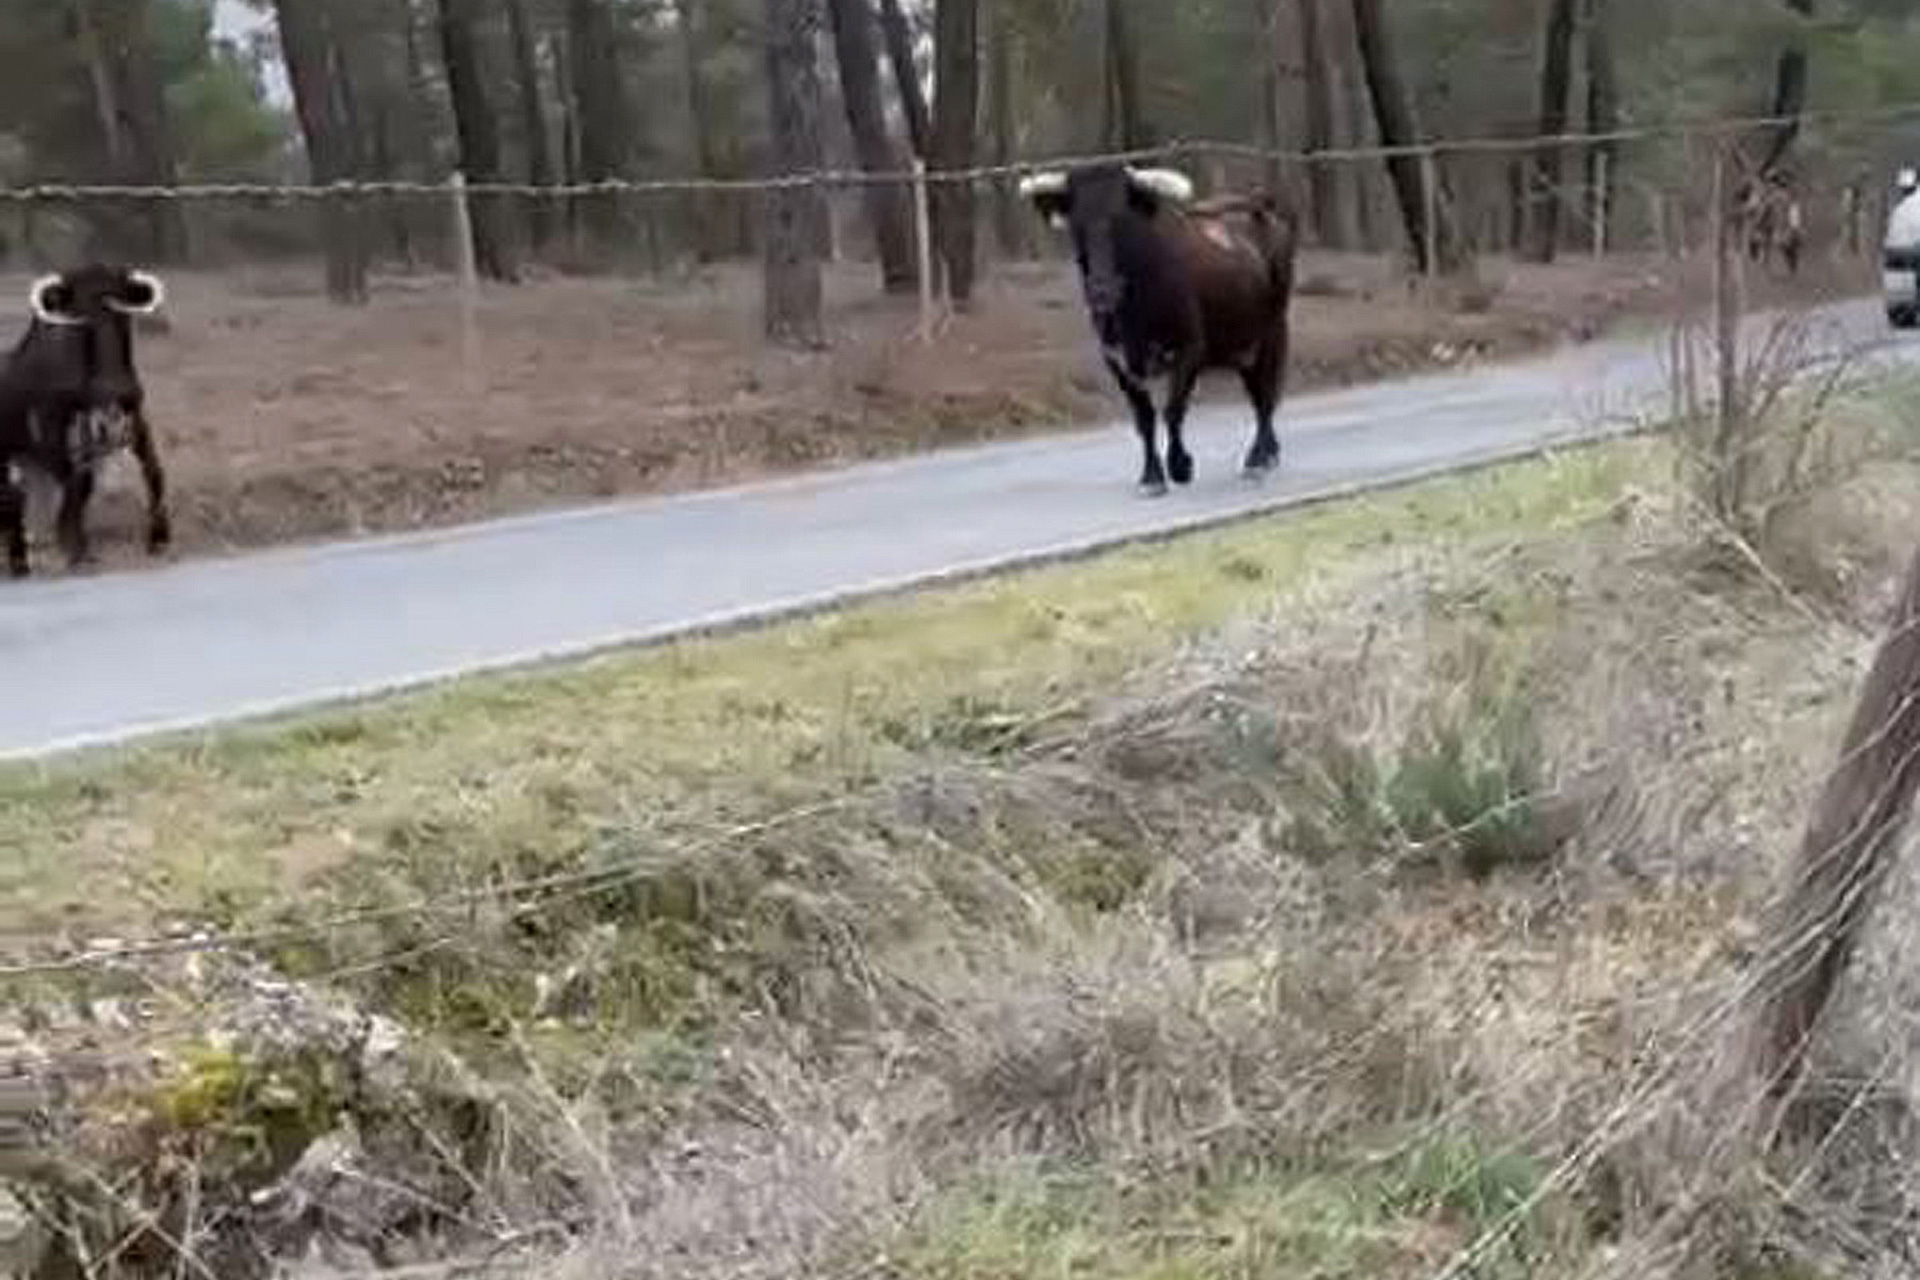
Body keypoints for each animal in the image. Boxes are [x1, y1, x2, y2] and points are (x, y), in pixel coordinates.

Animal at [0, 263, 172, 578]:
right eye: (83, 319)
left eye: (122, 315)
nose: (116, 389)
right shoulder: (53, 441)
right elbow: (81, 483)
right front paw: (76, 549)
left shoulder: (135, 423)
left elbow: (154, 472)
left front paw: (159, 539)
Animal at [1018, 163, 1298, 494]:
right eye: (1077, 225)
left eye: (1123, 220)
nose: (1102, 290)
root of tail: (1257, 204)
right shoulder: (1117, 360)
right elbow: (1144, 418)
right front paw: (1151, 476)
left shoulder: (1189, 349)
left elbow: (1172, 410)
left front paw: (1180, 465)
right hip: (1242, 344)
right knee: (1258, 393)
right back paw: (1269, 452)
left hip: (1272, 332)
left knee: (1265, 395)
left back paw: (1258, 457)